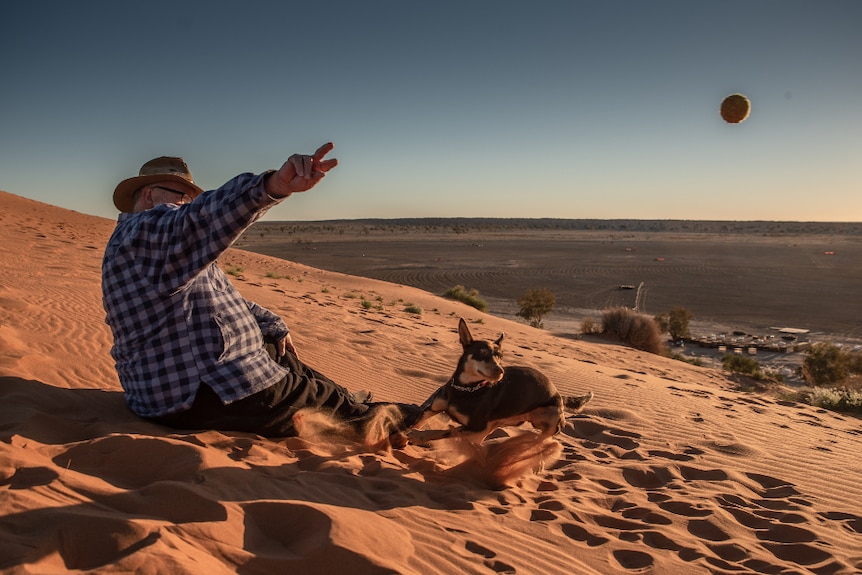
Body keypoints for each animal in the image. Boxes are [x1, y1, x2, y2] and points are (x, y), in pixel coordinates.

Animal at [406, 320, 592, 446]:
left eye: (500, 357)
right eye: (482, 353)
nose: (500, 371)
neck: (466, 389)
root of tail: (558, 393)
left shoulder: (475, 426)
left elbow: (443, 431)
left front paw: (418, 436)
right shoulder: (432, 409)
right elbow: (417, 421)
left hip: (549, 420)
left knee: (543, 437)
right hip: (495, 425)